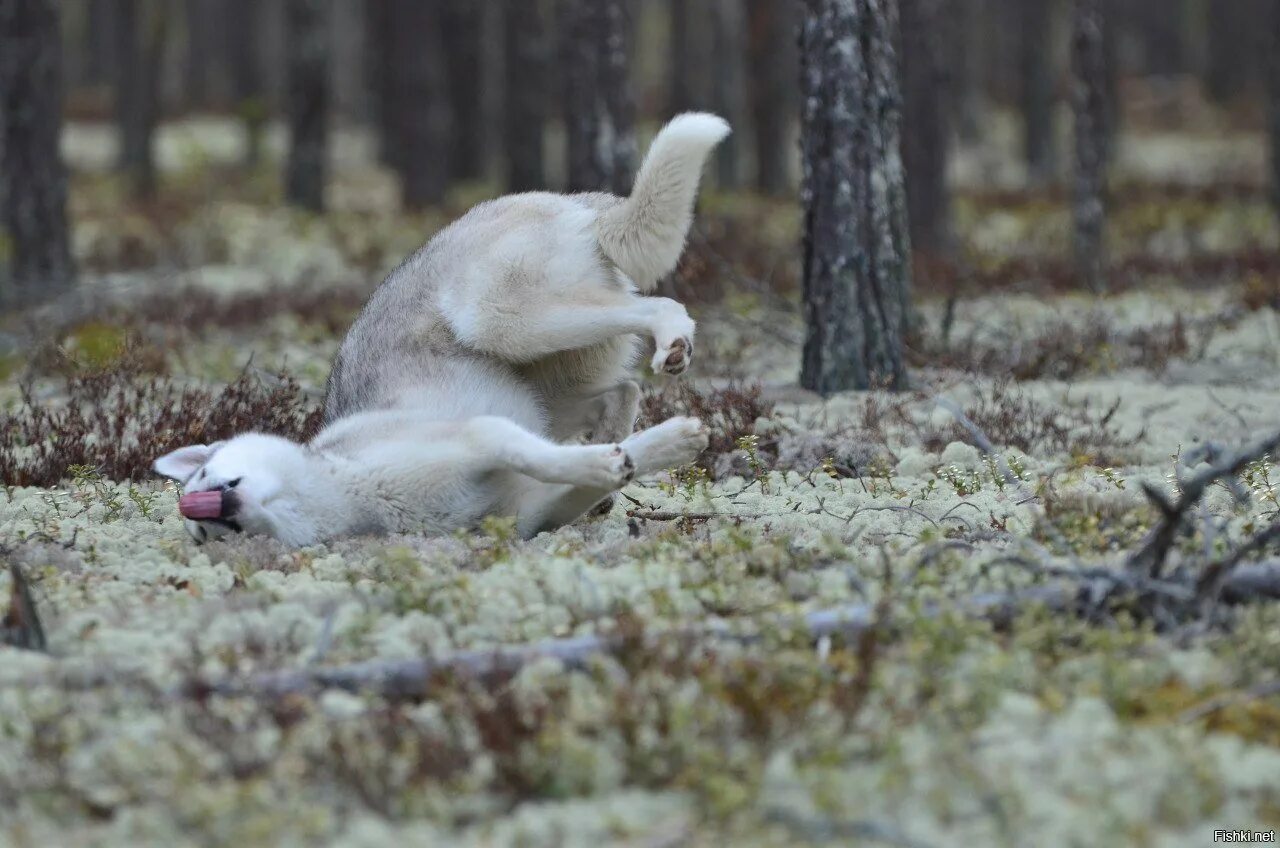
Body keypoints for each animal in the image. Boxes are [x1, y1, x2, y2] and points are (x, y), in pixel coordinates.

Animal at [153, 112, 732, 548]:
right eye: (208, 535)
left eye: (202, 477)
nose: (212, 507)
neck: (350, 495)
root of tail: (571, 201)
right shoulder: (530, 511)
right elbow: (584, 472)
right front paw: (643, 455)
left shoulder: (484, 433)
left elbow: (544, 456)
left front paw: (636, 453)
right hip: (549, 380)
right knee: (623, 389)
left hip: (505, 320)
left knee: (659, 306)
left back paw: (672, 339)